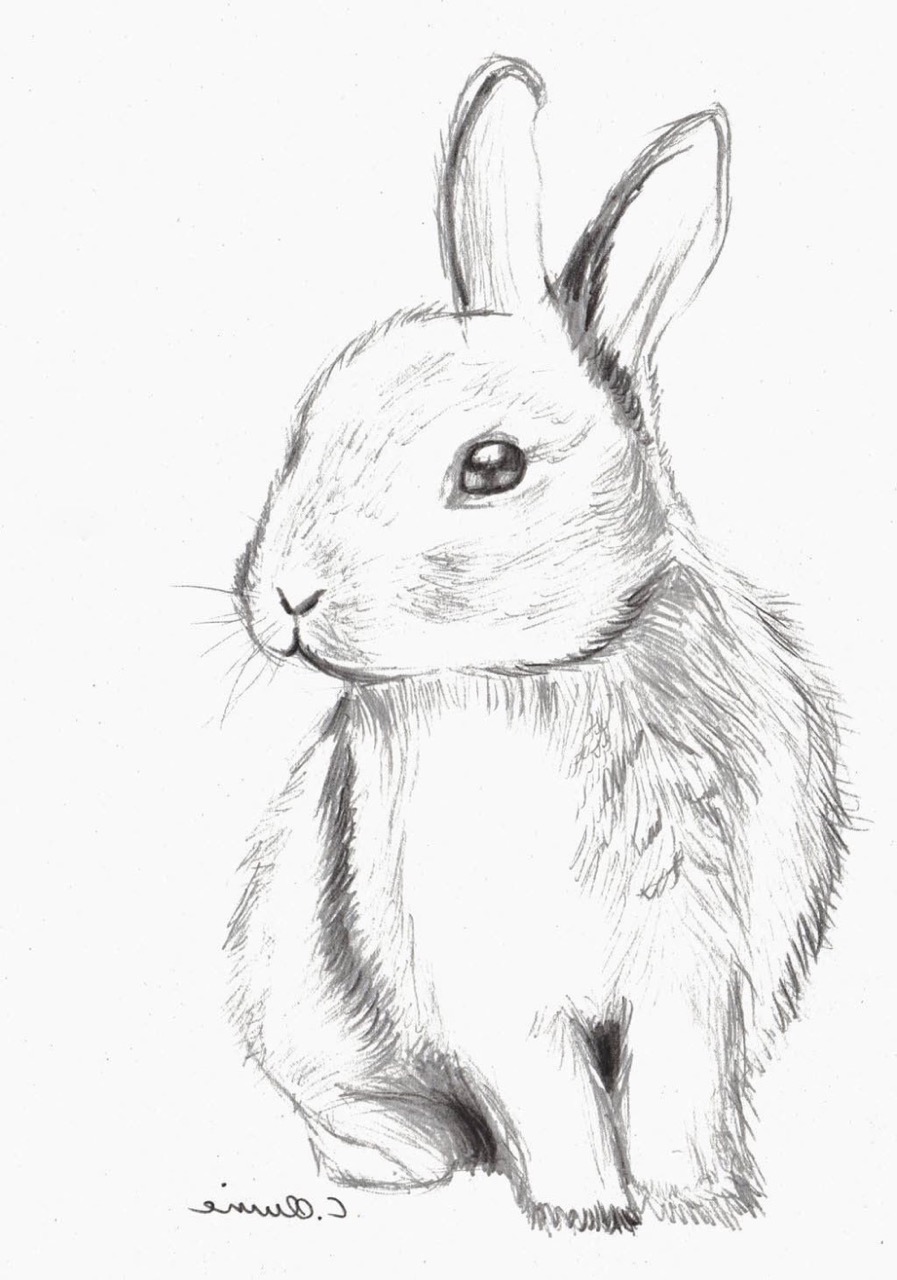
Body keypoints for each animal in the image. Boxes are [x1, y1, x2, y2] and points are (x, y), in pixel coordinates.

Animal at [225, 56, 847, 1232]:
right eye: (313, 421)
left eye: (493, 466)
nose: (286, 594)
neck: (557, 670)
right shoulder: (496, 988)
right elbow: (549, 1092)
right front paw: (586, 1212)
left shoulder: (697, 968)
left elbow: (673, 1087)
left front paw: (697, 1202)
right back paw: (407, 1157)